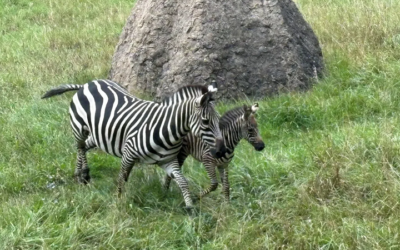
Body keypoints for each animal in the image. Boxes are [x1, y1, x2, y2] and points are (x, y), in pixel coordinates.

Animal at [43, 79, 228, 210]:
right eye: (205, 122)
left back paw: (79, 174)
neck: (168, 130)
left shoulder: (168, 161)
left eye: (218, 120)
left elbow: (182, 181)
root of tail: (87, 84)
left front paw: (190, 207)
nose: (221, 151)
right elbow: (121, 178)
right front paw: (118, 201)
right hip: (79, 128)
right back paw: (84, 174)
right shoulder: (129, 153)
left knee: (83, 147)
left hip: (98, 136)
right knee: (80, 147)